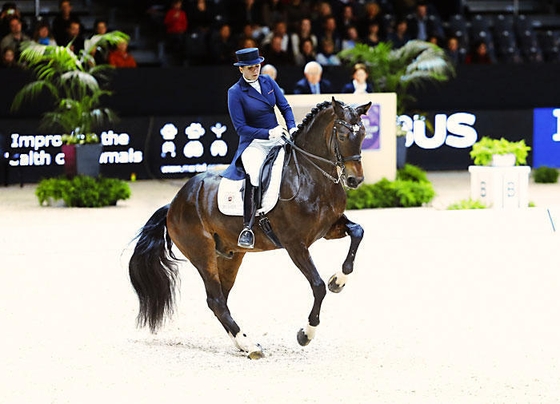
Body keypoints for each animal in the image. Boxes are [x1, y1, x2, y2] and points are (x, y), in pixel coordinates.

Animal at [128, 97, 372, 356]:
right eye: (343, 136)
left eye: (363, 134)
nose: (355, 180)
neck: (309, 175)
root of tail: (174, 204)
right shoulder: (295, 244)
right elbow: (317, 286)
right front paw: (306, 334)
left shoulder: (329, 228)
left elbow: (358, 232)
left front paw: (338, 281)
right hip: (202, 253)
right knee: (215, 299)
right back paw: (250, 345)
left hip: (231, 254)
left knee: (221, 298)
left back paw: (242, 342)